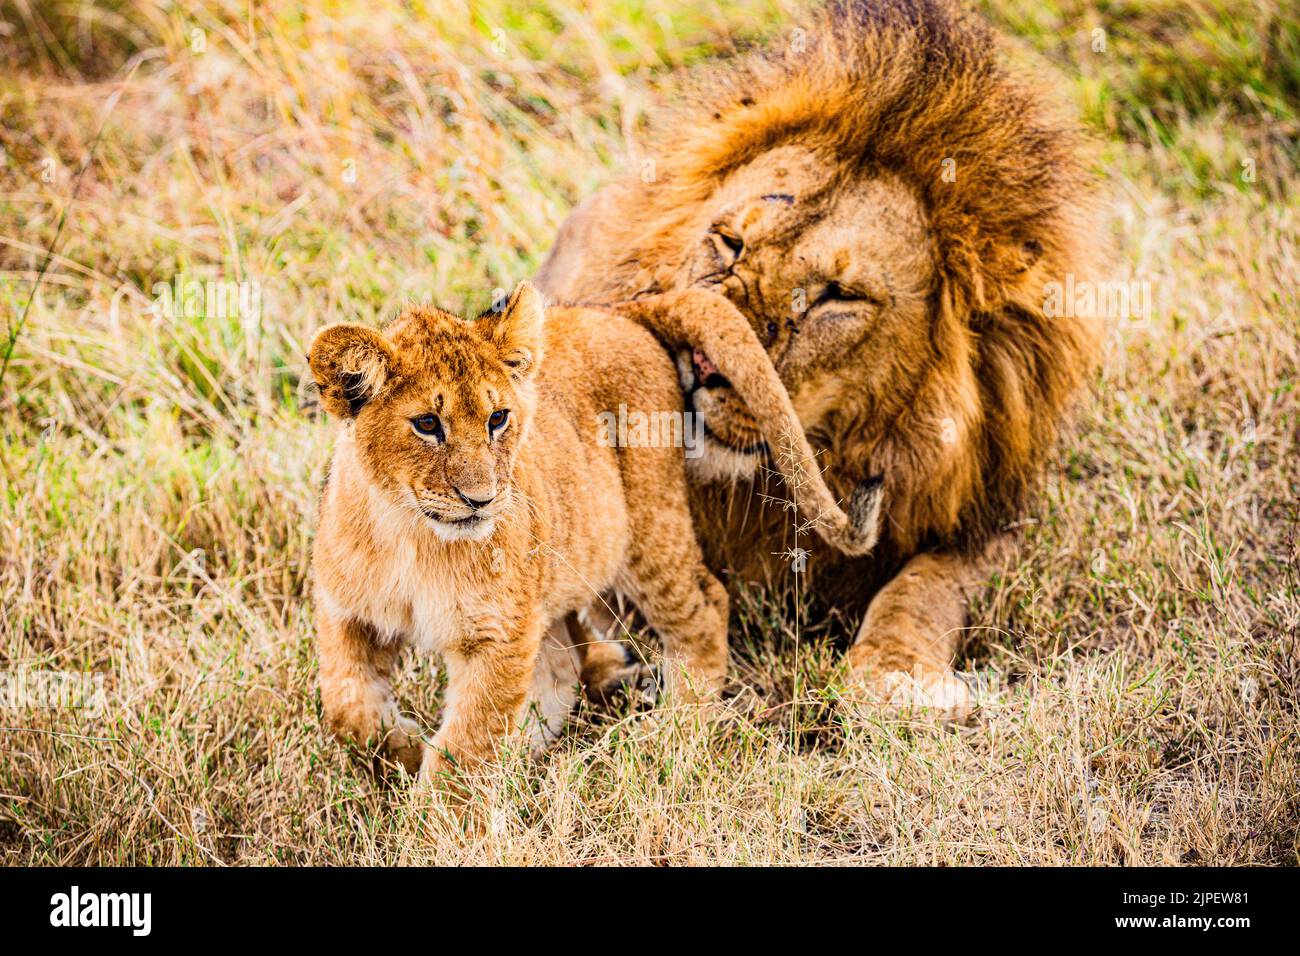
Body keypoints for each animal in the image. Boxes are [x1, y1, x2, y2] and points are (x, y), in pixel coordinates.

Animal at [533, 0, 1102, 717]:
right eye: (729, 242)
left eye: (838, 296)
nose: (700, 360)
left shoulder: (992, 519)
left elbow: (923, 587)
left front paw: (897, 677)